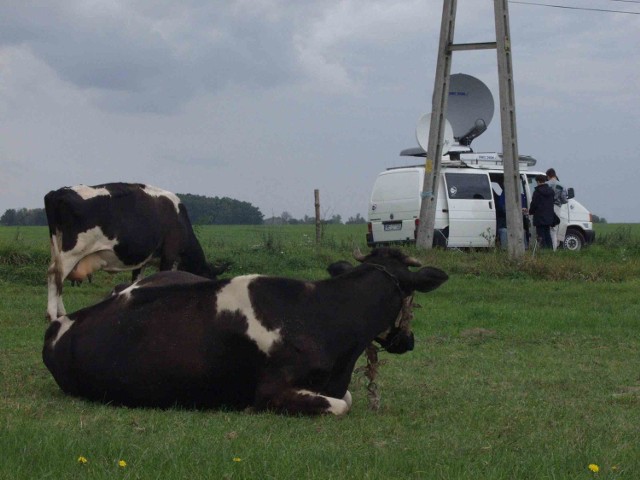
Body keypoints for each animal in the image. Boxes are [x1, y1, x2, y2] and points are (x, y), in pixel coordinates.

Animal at [43, 248, 444, 416]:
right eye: (412, 297)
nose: (408, 341)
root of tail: (59, 325)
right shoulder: (272, 390)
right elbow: (343, 405)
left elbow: (347, 398)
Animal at [44, 184, 228, 322]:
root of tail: (58, 192)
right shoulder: (169, 255)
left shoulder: (142, 261)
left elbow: (137, 282)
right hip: (73, 251)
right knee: (55, 275)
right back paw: (53, 315)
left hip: (56, 249)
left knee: (57, 276)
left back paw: (61, 313)